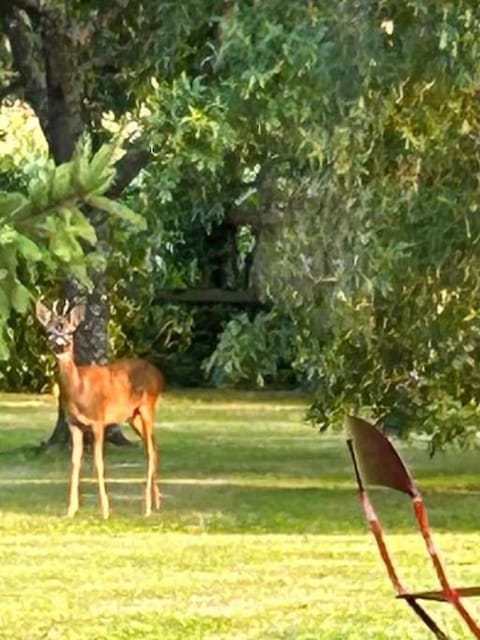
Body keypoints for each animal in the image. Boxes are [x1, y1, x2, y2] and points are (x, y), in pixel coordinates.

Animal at [35, 302, 165, 520]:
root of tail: (160, 375)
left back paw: (147, 508)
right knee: (154, 446)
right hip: (133, 416)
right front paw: (71, 510)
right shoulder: (74, 424)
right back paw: (156, 503)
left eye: (70, 332)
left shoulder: (98, 420)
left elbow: (98, 462)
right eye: (50, 331)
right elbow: (75, 462)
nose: (60, 346)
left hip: (147, 406)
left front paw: (105, 511)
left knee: (149, 451)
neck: (79, 389)